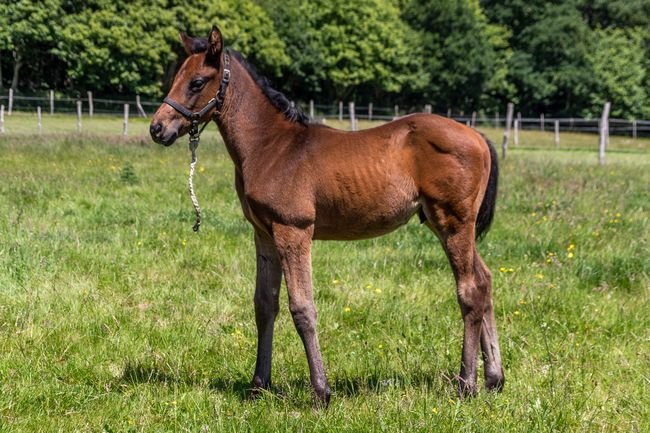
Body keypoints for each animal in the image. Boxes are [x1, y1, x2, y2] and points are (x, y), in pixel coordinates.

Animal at [150, 26, 504, 406]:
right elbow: (264, 304)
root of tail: (477, 136)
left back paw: (466, 383)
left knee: (470, 290)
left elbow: (302, 308)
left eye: (198, 82)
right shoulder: (264, 233)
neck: (271, 146)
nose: (157, 128)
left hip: (452, 223)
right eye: (176, 77)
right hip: (450, 226)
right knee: (484, 281)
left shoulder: (293, 231)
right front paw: (258, 385)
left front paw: (321, 391)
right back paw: (494, 378)